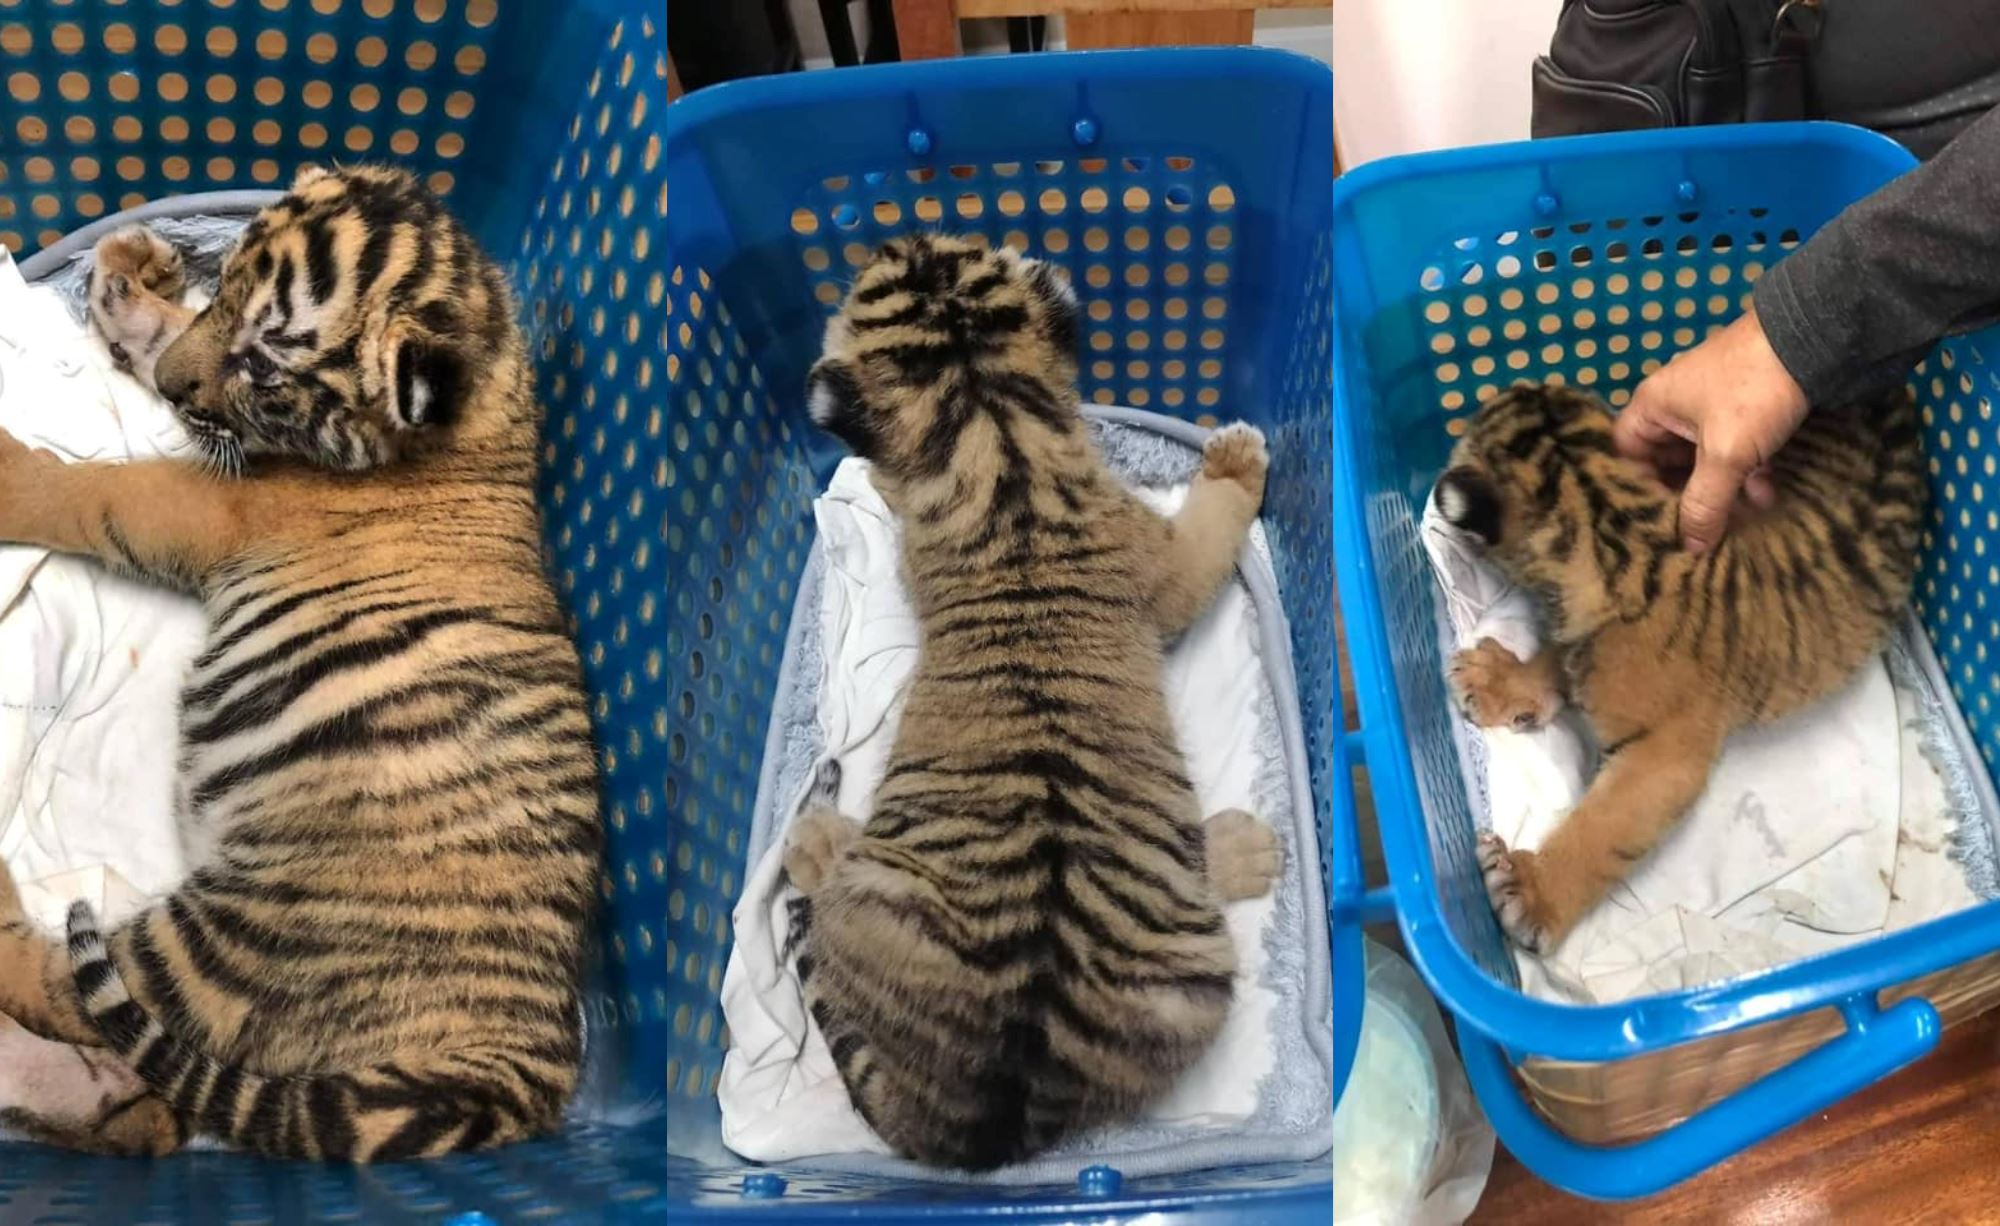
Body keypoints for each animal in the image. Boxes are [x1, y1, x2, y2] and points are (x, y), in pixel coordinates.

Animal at [0, 164, 600, 1159]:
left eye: (265, 368)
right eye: (225, 290)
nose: (177, 386)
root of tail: (519, 1074)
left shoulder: (201, 502)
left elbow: (90, 491)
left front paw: (18, 465)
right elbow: (170, 343)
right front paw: (132, 278)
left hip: (222, 949)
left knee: (58, 988)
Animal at [780, 232, 1284, 1170]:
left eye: (944, 253)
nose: (894, 235)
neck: (981, 411)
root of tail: (974, 1122)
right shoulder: (1167, 567)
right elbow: (1215, 522)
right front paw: (1236, 457)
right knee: (813, 865)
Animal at [1437, 381, 1923, 953]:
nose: (1512, 383)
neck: (1614, 525)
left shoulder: (1661, 758)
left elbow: (1602, 828)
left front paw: (1529, 892)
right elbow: (1557, 657)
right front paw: (1495, 680)